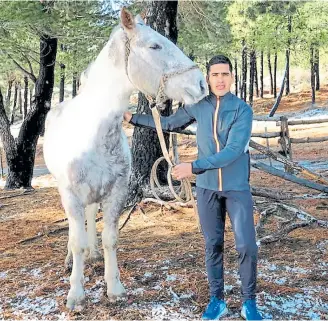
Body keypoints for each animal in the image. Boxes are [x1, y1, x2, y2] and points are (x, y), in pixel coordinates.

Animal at [43, 7, 205, 308]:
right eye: (154, 45)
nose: (200, 84)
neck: (93, 132)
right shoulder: (71, 194)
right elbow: (76, 240)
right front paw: (76, 294)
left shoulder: (116, 191)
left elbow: (110, 238)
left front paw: (114, 288)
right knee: (74, 229)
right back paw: (72, 260)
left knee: (90, 216)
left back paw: (93, 255)